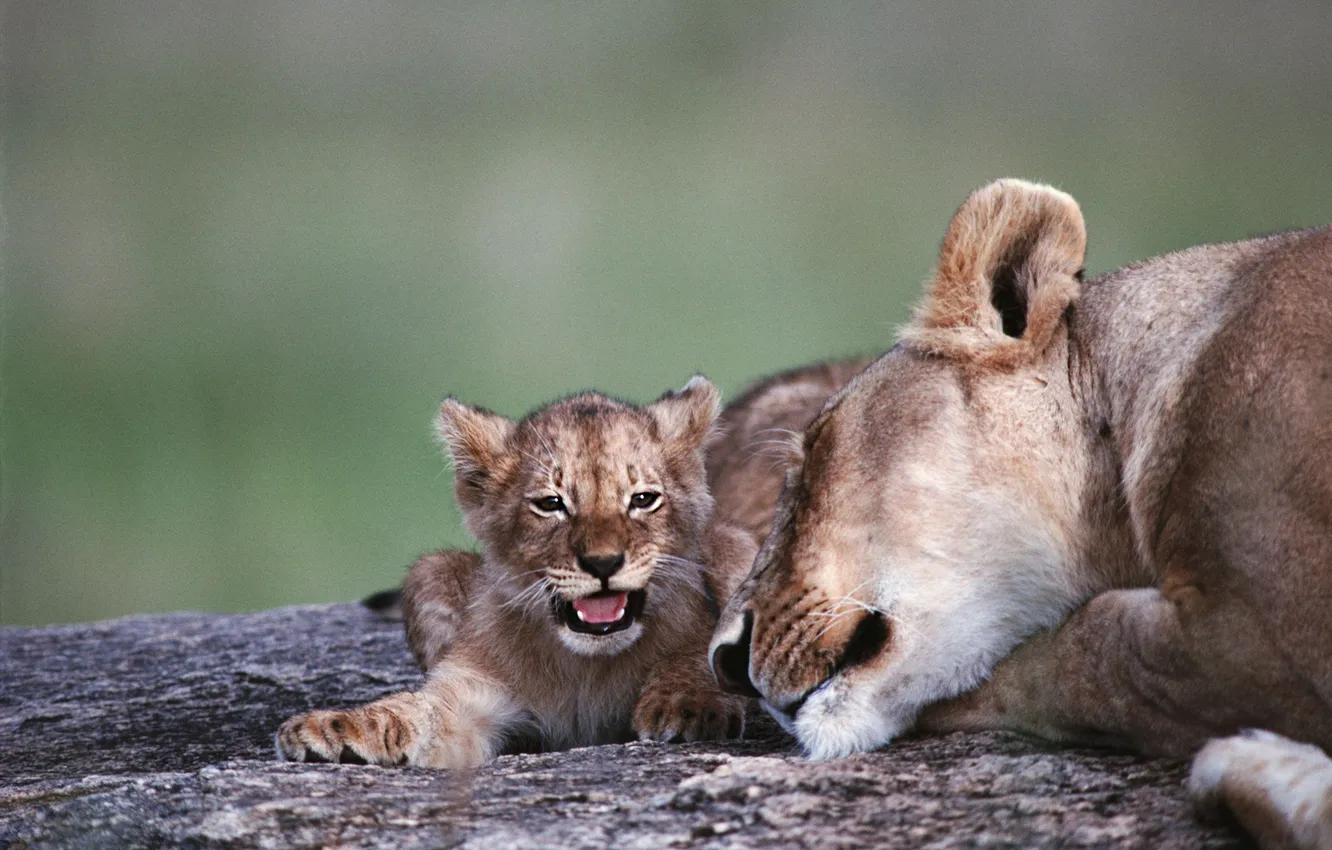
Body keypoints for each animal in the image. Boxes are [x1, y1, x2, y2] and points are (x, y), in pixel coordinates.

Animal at [277, 362, 863, 768]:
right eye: (551, 504)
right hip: (430, 573)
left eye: (643, 499)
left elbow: (699, 653)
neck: (586, 665)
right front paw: (331, 729)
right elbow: (411, 713)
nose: (603, 562)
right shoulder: (469, 696)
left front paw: (688, 704)